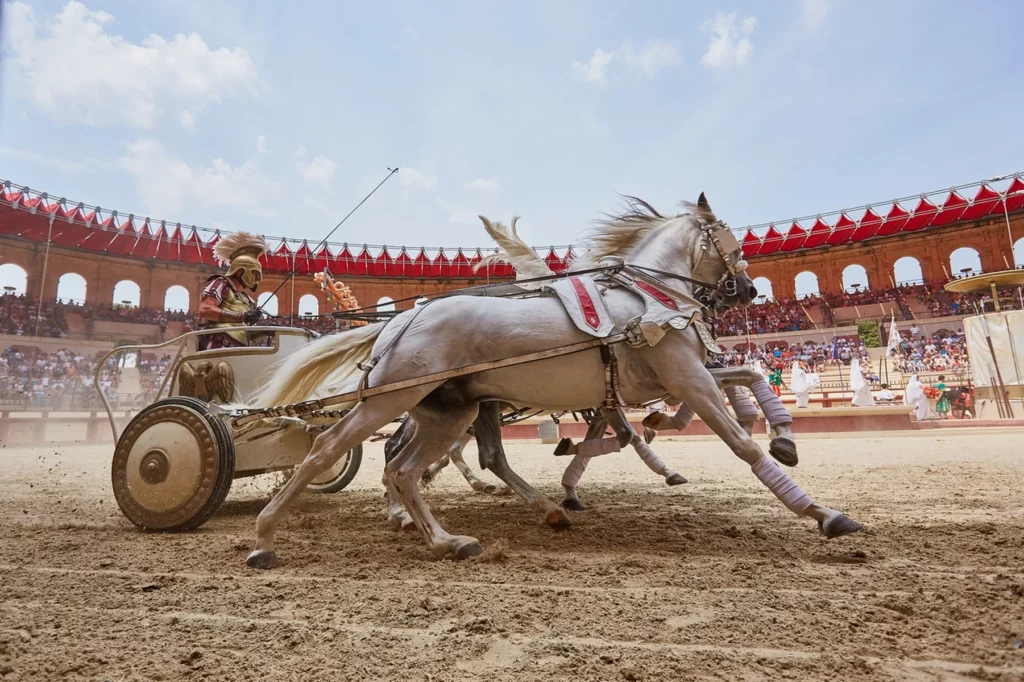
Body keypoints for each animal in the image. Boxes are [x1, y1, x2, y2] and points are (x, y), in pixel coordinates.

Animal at [247, 193, 864, 565]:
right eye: (731, 239)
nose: (749, 291)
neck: (646, 298)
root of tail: (401, 319)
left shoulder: (663, 382)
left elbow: (747, 377)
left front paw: (783, 436)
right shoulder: (686, 376)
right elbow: (738, 441)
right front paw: (823, 513)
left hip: (449, 411)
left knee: (406, 467)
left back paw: (449, 538)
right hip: (392, 402)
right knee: (331, 449)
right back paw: (266, 534)